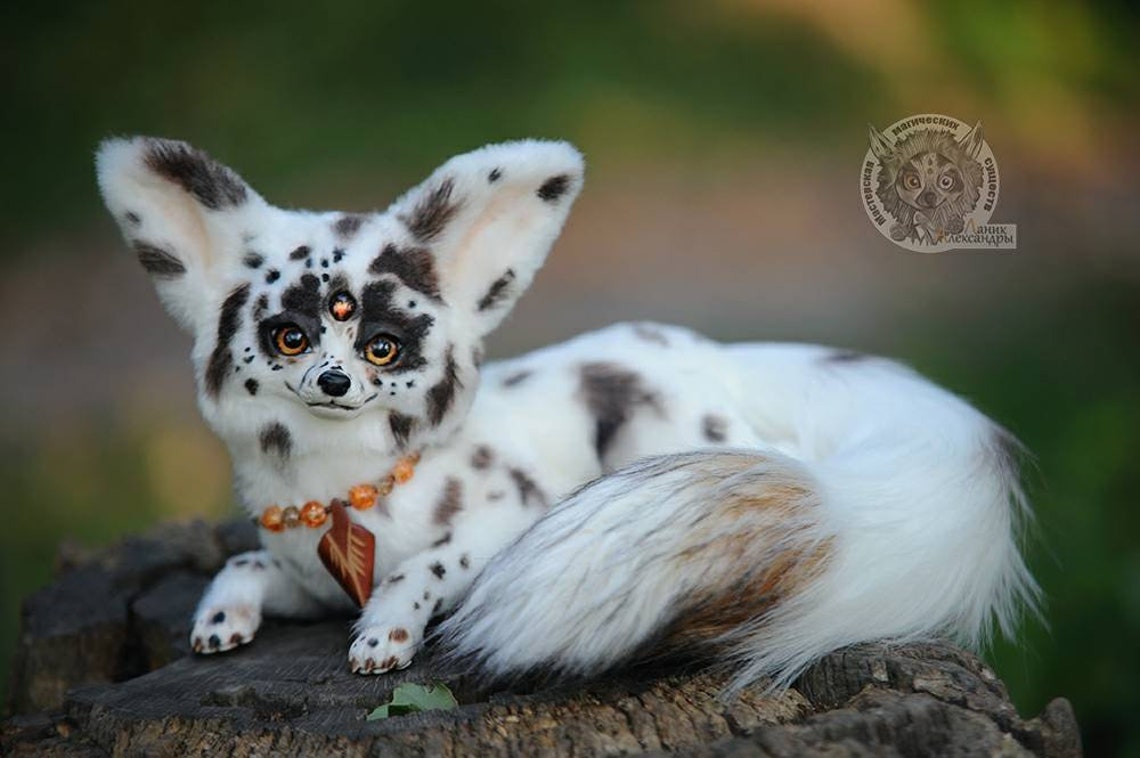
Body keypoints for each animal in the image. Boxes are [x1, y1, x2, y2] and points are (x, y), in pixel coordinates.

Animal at [96, 136, 1038, 692]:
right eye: (288, 336)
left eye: (382, 348)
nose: (331, 381)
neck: (345, 490)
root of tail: (717, 354)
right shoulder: (304, 577)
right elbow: (244, 563)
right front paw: (219, 622)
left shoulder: (501, 527)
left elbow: (420, 568)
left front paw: (385, 636)